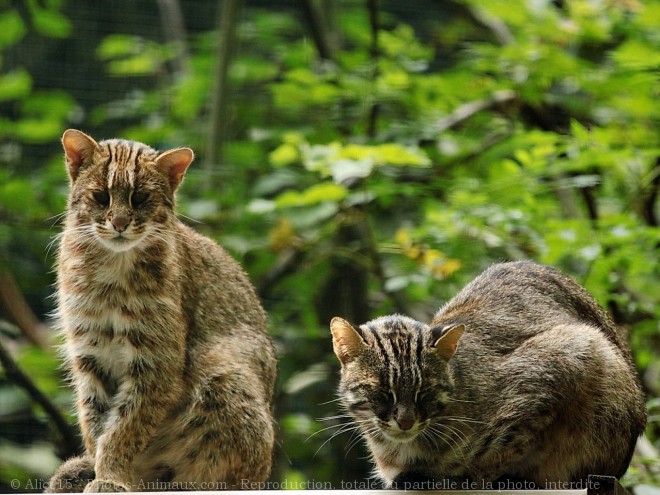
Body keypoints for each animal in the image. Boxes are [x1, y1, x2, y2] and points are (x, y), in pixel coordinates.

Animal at [45, 131, 274, 492]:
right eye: (100, 197)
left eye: (140, 198)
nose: (120, 223)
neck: (111, 265)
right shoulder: (89, 353)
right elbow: (96, 419)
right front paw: (99, 469)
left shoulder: (156, 362)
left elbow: (126, 426)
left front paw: (109, 476)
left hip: (226, 374)